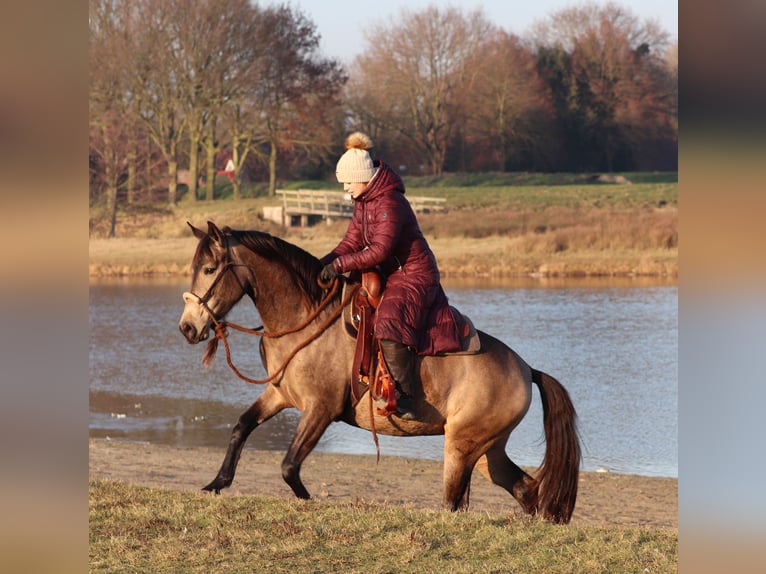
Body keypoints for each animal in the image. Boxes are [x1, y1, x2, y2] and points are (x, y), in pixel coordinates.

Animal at [177, 222, 584, 528]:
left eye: (209, 269)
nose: (187, 328)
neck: (304, 318)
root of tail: (525, 369)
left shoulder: (321, 409)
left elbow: (289, 466)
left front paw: (308, 500)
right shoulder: (280, 396)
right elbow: (241, 428)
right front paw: (216, 483)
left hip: (463, 448)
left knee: (457, 502)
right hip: (487, 452)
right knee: (524, 489)